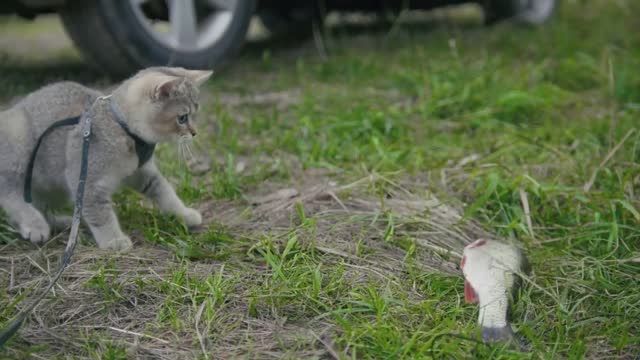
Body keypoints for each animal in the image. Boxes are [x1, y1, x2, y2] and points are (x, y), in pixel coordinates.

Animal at [0, 66, 212, 250]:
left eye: (194, 115)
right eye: (182, 118)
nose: (195, 133)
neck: (122, 128)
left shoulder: (140, 172)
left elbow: (165, 192)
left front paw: (184, 214)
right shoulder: (86, 179)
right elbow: (99, 214)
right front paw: (113, 240)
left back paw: (59, 221)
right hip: (19, 144)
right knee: (10, 193)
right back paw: (35, 223)